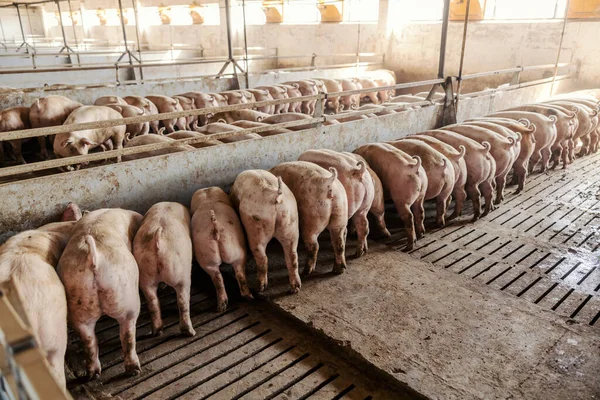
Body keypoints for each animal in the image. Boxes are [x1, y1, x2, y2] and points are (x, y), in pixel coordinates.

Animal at [57, 208, 144, 380]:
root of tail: (94, 256)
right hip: (127, 297)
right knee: (128, 335)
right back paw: (134, 370)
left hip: (78, 305)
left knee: (89, 341)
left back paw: (93, 374)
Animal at [134, 203, 195, 338]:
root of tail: (159, 239)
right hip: (181, 274)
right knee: (182, 302)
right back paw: (190, 332)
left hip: (145, 276)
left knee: (153, 303)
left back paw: (157, 332)